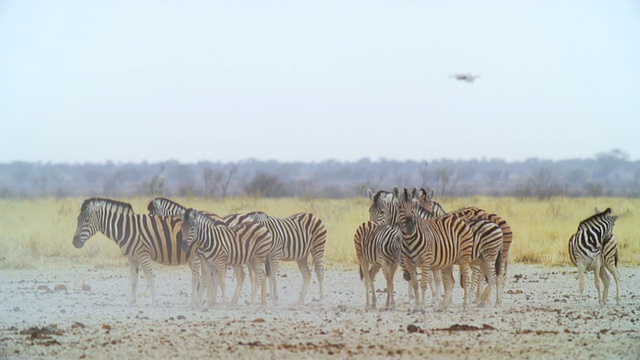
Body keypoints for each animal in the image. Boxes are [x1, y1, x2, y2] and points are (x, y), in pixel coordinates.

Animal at [70, 197, 201, 306]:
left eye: (87, 220)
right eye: (77, 219)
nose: (74, 242)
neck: (127, 229)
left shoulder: (143, 255)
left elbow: (150, 277)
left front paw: (155, 301)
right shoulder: (132, 258)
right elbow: (133, 280)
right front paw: (132, 302)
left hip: (195, 257)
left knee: (197, 278)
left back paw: (196, 302)